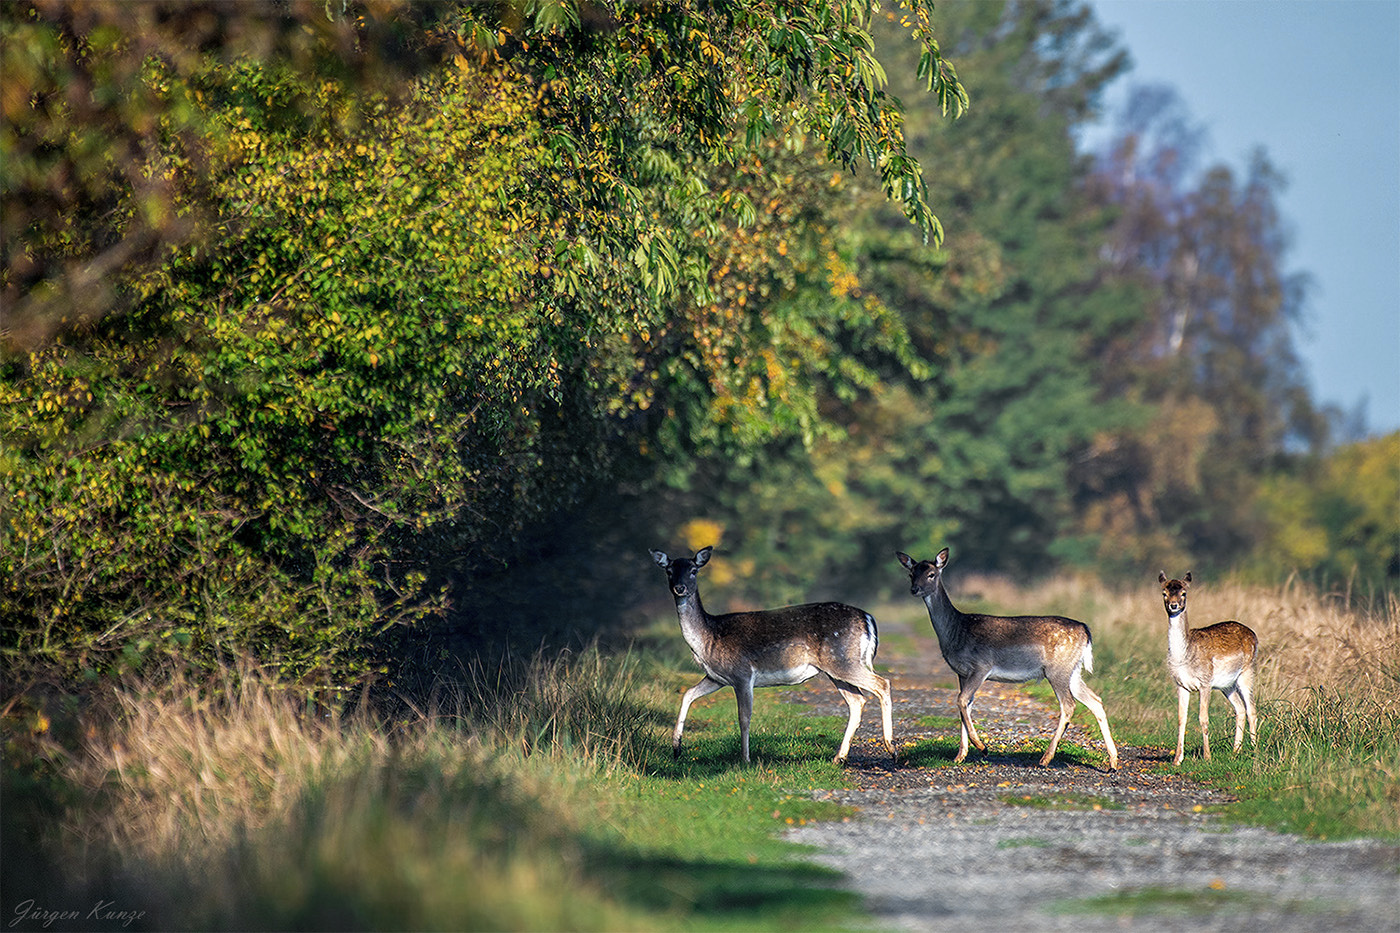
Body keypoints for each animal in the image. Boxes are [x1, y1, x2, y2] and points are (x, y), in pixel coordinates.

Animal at [646, 546, 890, 762]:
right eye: (669, 570)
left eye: (694, 570)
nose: (680, 588)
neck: (709, 638)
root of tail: (868, 618)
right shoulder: (717, 677)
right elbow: (687, 694)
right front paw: (676, 749)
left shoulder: (742, 672)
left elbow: (744, 717)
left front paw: (745, 760)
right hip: (836, 668)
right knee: (857, 700)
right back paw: (839, 757)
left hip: (842, 660)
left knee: (882, 683)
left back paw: (891, 747)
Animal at [901, 549, 1120, 767]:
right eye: (911, 573)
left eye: (931, 574)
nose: (914, 589)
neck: (957, 630)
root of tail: (1085, 630)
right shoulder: (961, 672)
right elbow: (965, 705)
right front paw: (960, 756)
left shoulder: (981, 665)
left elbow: (961, 700)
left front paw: (982, 747)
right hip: (1073, 671)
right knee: (1095, 700)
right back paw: (1112, 763)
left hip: (1057, 669)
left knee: (1069, 705)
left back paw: (1045, 758)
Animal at [1159, 565, 1260, 762]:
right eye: (1164, 593)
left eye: (1184, 593)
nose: (1174, 605)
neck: (1185, 657)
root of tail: (1253, 634)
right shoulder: (1181, 684)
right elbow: (1181, 718)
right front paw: (1177, 759)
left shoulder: (1205, 682)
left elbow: (1203, 718)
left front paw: (1207, 757)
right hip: (1226, 685)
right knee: (1240, 709)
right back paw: (1235, 751)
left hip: (1247, 672)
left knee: (1251, 708)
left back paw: (1253, 749)